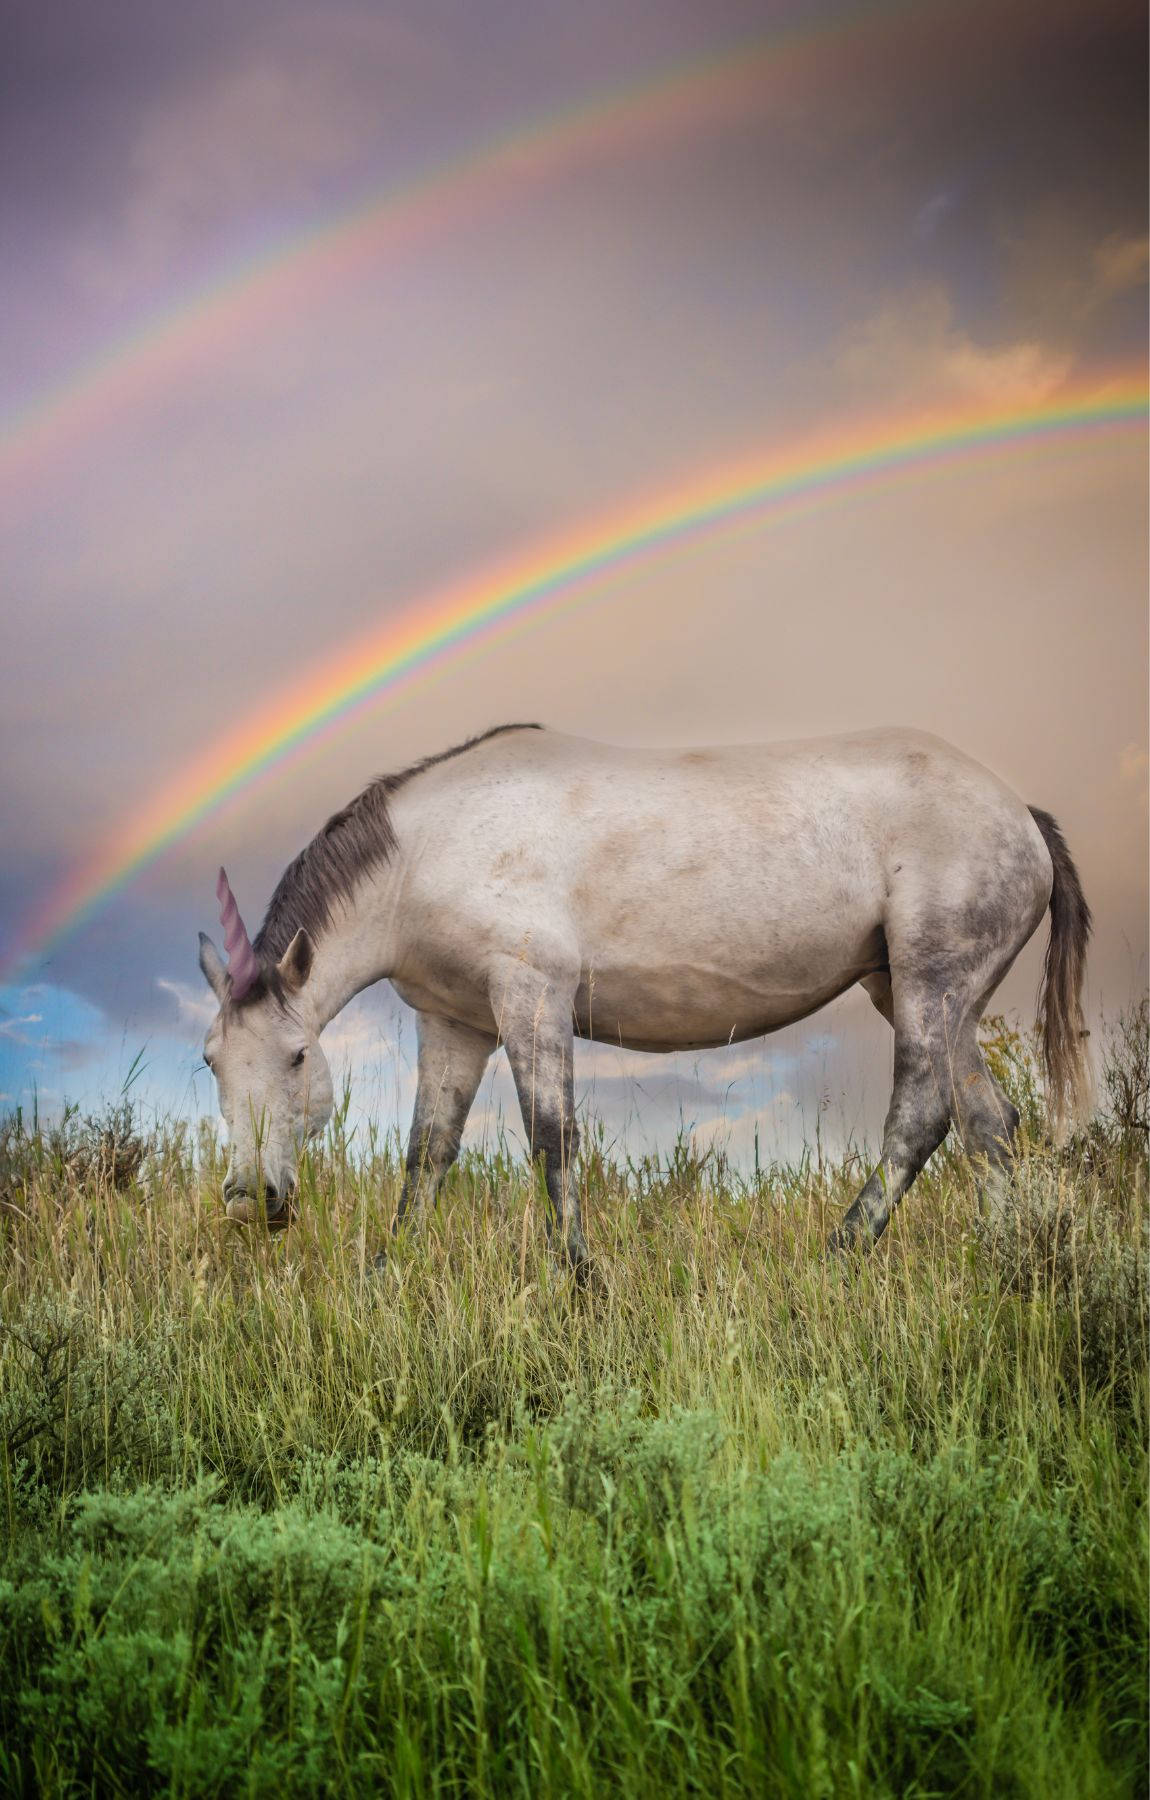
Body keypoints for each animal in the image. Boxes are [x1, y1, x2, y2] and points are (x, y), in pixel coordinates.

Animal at [202, 720, 1094, 1267]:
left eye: (297, 1056)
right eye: (212, 1061)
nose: (251, 1199)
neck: (429, 850)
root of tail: (1023, 816)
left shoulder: (532, 996)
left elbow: (552, 1140)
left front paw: (582, 1282)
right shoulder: (455, 1023)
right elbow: (427, 1155)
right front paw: (390, 1275)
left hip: (928, 985)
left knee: (920, 1118)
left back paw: (837, 1254)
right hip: (935, 999)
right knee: (989, 1123)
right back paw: (1007, 1261)